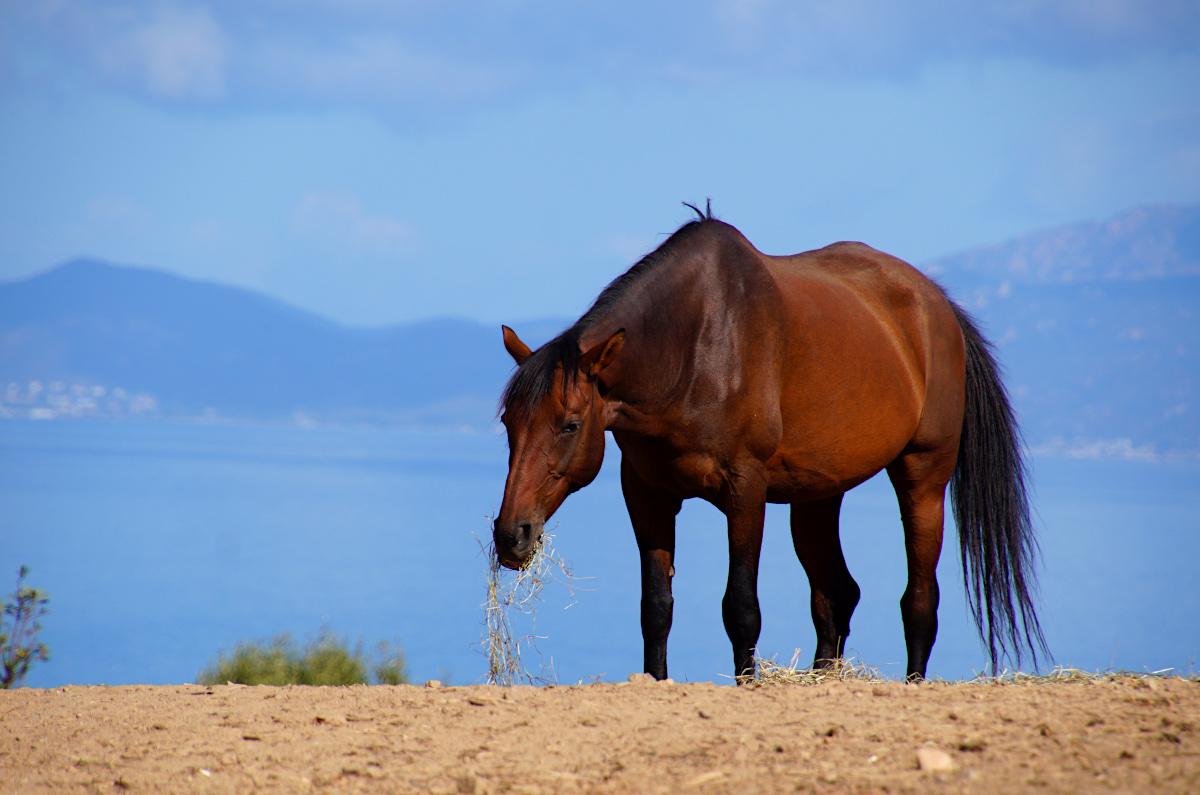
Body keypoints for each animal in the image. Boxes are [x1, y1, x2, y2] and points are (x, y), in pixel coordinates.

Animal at [492, 206, 1046, 686]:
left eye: (569, 425)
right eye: (507, 423)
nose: (511, 535)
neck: (694, 348)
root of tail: (938, 307)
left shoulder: (745, 490)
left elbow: (740, 607)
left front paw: (747, 683)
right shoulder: (647, 494)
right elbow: (656, 607)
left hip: (923, 476)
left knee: (919, 601)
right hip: (818, 496)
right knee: (836, 595)